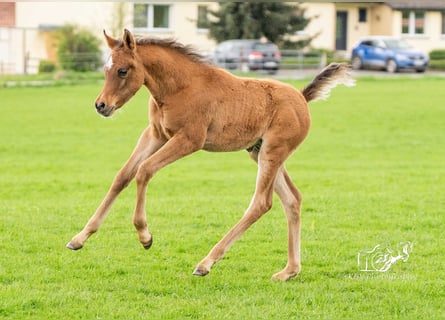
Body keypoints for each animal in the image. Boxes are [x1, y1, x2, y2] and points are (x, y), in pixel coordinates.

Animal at [67, 30, 354, 280]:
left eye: (123, 70)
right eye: (105, 69)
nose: (101, 105)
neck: (178, 88)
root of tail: (302, 98)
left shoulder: (189, 140)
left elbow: (144, 171)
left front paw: (145, 236)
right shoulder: (155, 134)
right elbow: (123, 176)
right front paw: (80, 238)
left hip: (272, 152)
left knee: (262, 202)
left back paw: (206, 263)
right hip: (259, 152)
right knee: (292, 199)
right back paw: (289, 271)